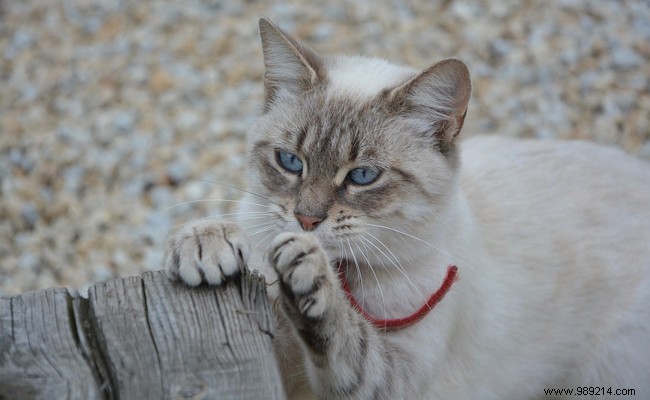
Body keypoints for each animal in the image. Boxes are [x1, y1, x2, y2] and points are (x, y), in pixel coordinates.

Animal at [163, 19, 650, 400]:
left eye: (362, 176)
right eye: (290, 162)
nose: (306, 220)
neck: (346, 271)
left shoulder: (397, 378)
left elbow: (347, 340)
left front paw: (309, 278)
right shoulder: (279, 362)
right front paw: (207, 244)